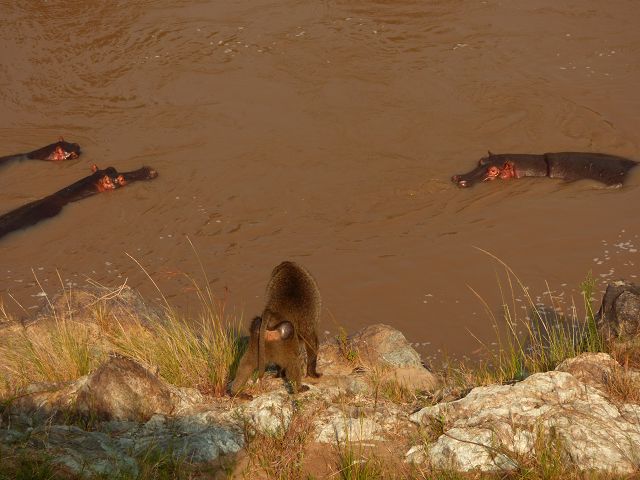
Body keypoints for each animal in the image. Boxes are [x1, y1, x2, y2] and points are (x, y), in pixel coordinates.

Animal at [229, 261, 321, 396]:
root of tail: (272, 318)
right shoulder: (308, 322)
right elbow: (311, 342)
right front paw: (313, 374)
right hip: (284, 338)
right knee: (293, 362)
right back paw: (298, 389)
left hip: (257, 337)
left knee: (246, 364)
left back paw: (236, 393)